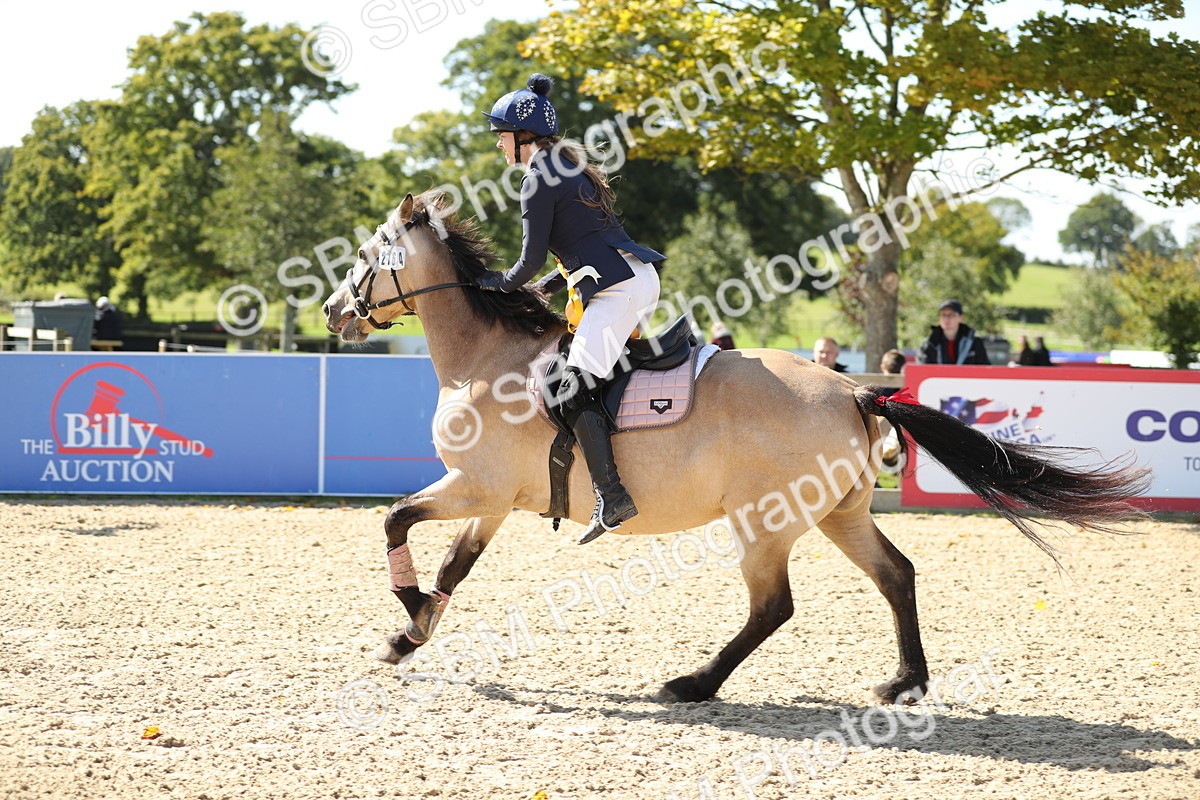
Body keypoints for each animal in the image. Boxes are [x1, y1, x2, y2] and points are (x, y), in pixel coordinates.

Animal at [321, 191, 1150, 704]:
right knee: (897, 575)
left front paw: (408, 612)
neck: (487, 357)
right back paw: (903, 683)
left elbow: (395, 519)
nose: (332, 311)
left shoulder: (476, 486)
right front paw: (410, 634)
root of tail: (855, 391)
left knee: (774, 606)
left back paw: (694, 684)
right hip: (841, 514)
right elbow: (454, 566)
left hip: (765, 523)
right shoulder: (491, 499)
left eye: (368, 254)